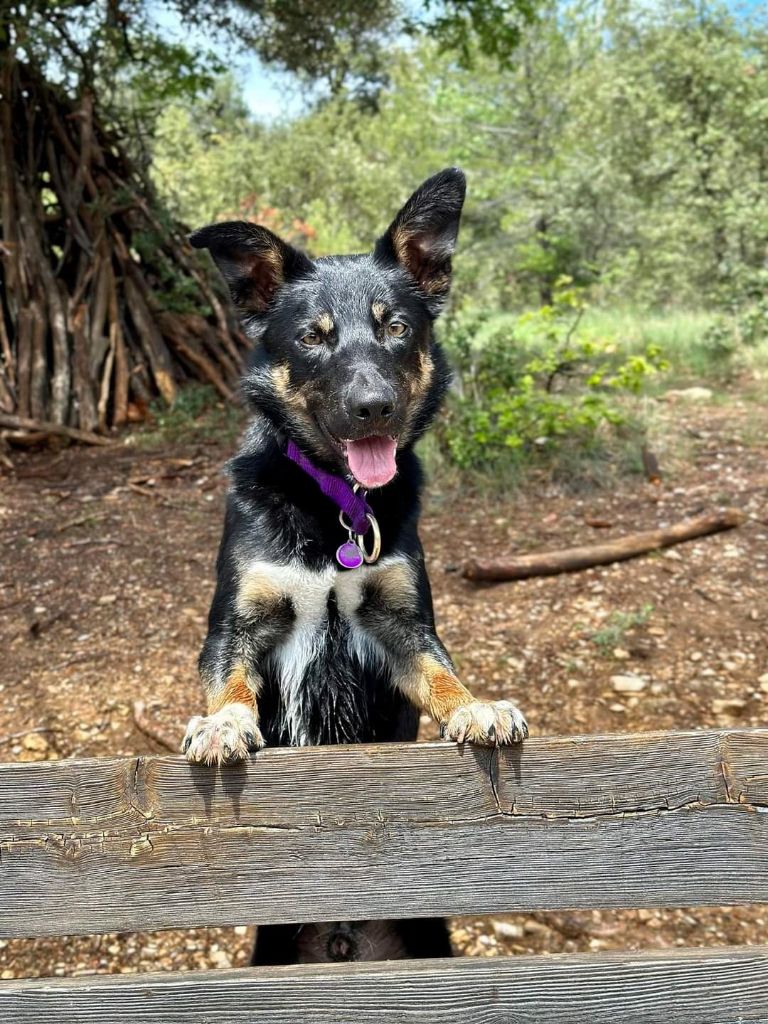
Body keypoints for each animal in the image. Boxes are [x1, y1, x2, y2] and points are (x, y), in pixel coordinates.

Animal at [183, 165, 528, 958]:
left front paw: (476, 706)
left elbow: (441, 672)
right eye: (314, 338)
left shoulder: (399, 626)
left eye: (396, 327)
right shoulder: (235, 628)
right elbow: (230, 685)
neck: (333, 502)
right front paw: (224, 724)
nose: (373, 406)